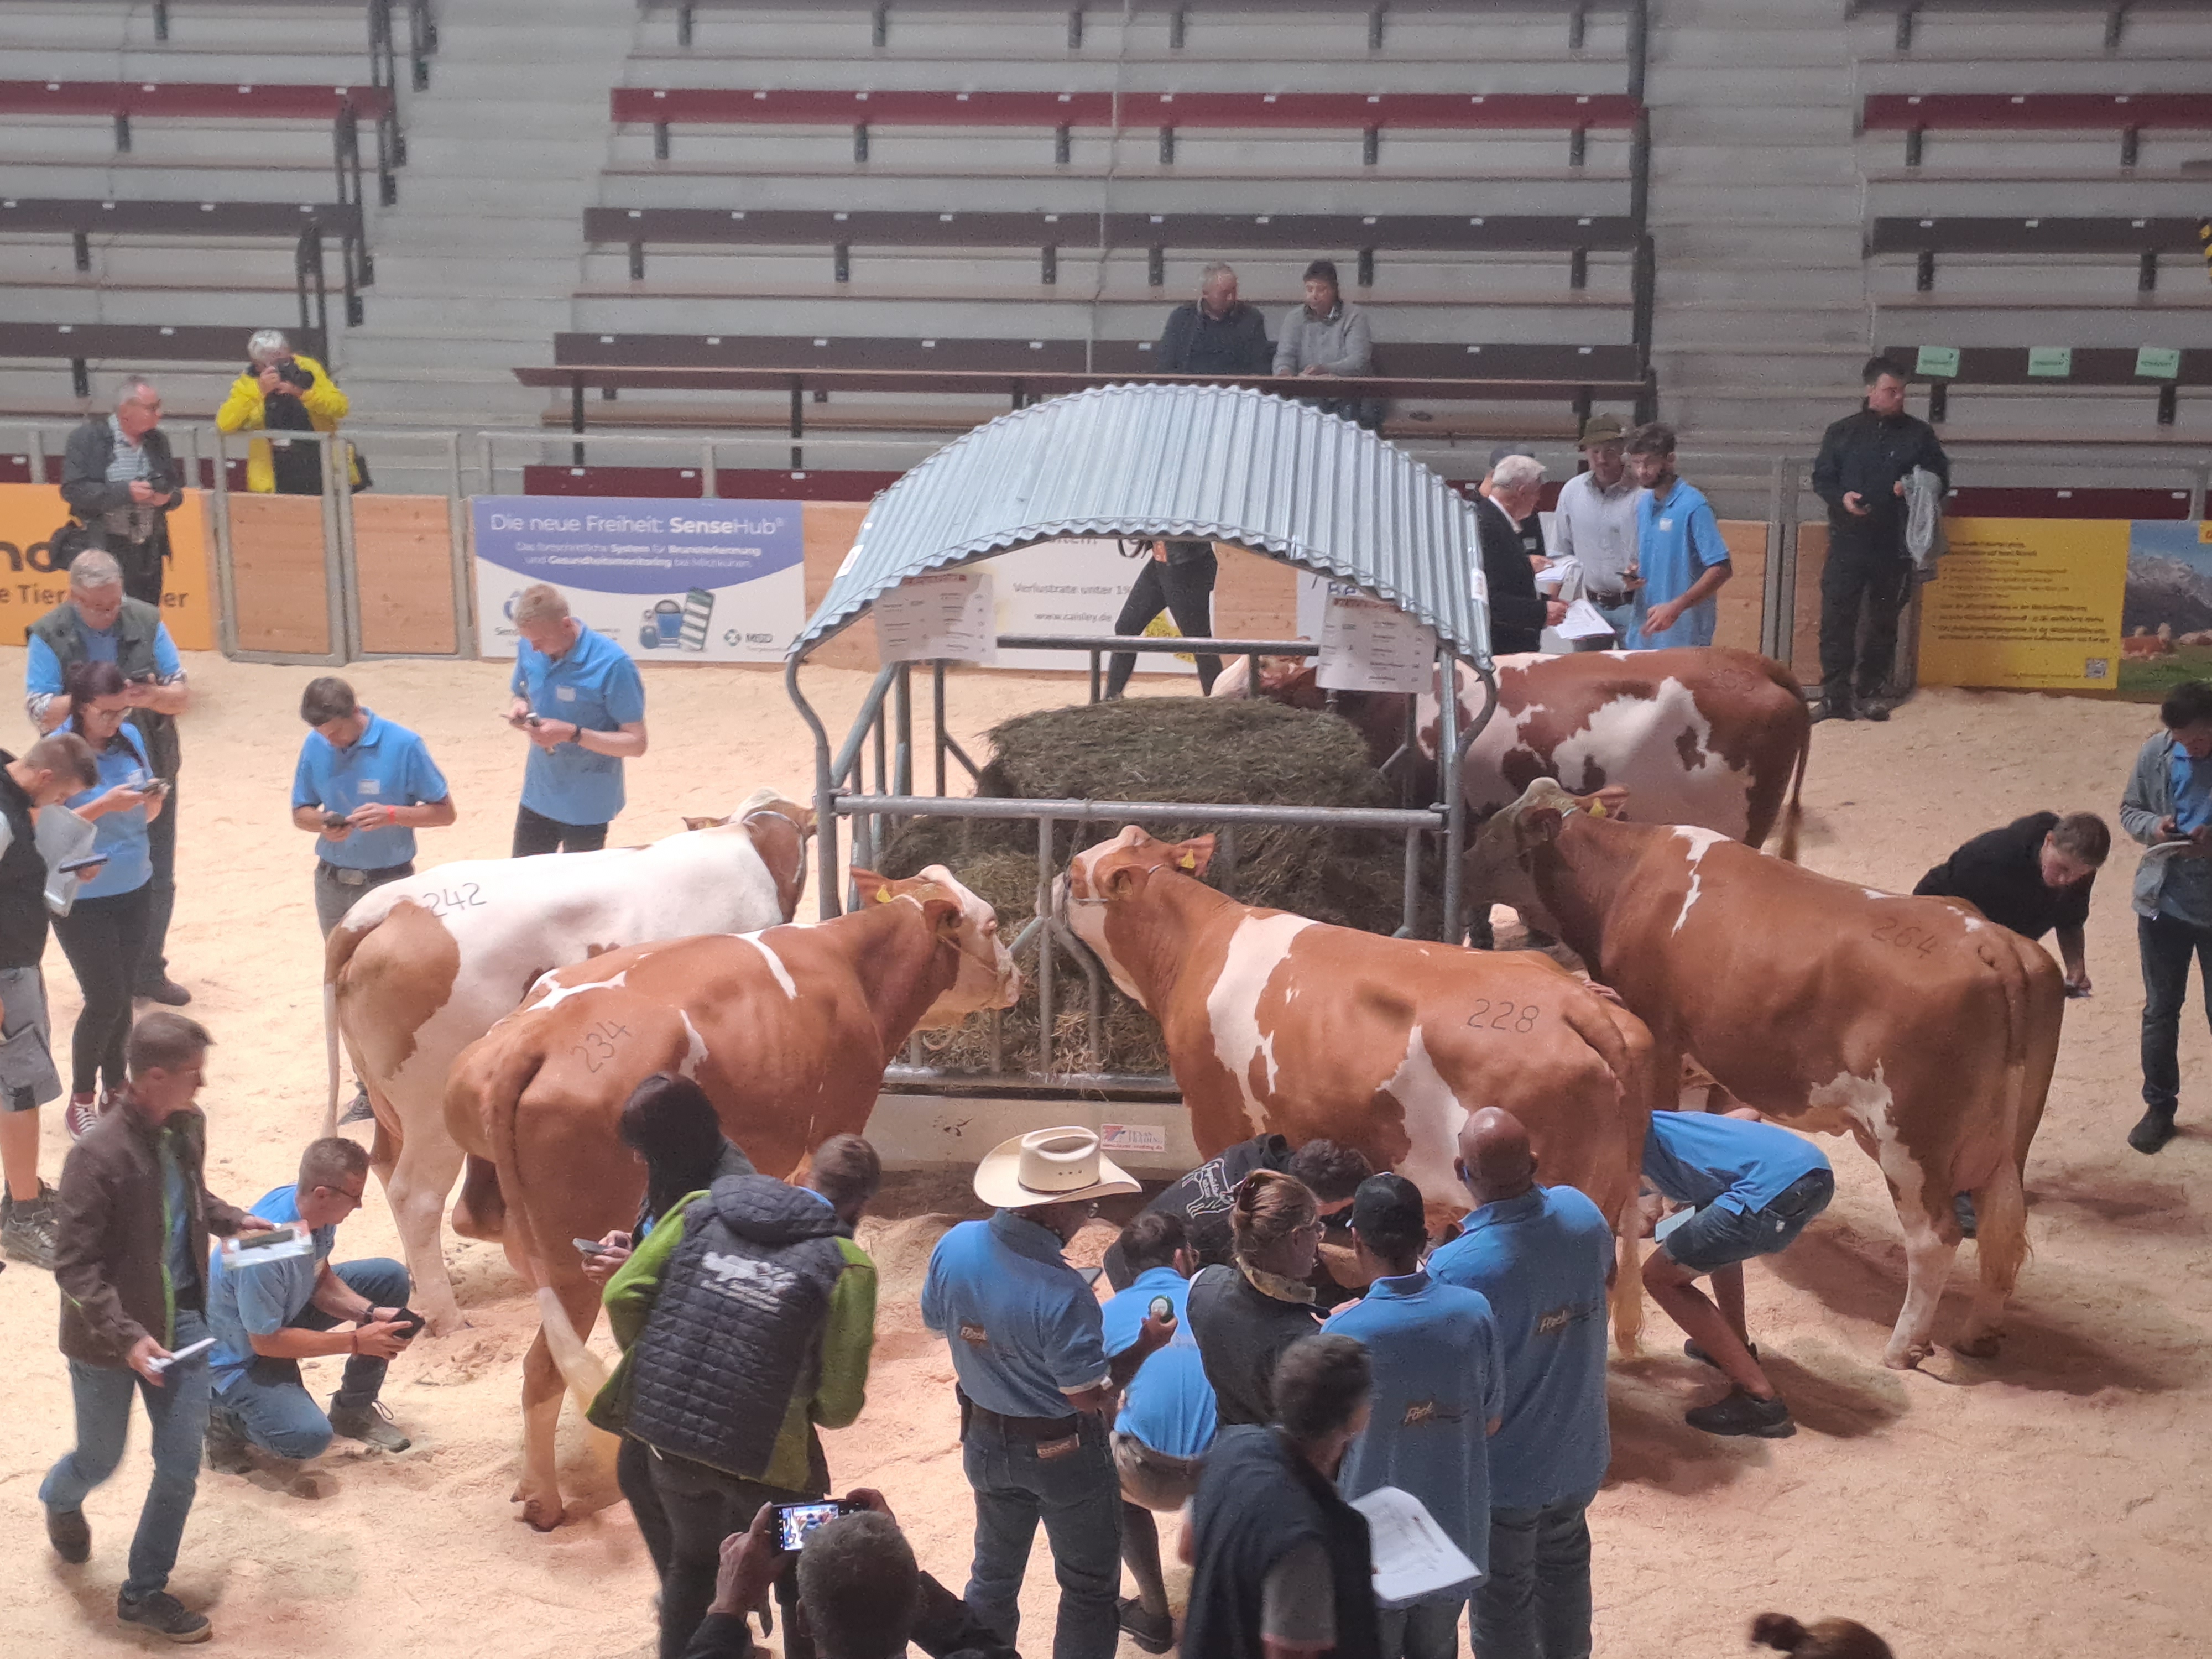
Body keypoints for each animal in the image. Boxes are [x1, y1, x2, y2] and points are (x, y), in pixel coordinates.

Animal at [323, 792, 818, 1336]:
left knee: (384, 1167)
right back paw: (449, 1317)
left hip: (389, 1102)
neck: (751, 841)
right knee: (416, 1197)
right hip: (431, 1108)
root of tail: (389, 908)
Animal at [438, 872, 1018, 1531]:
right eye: (992, 924)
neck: (847, 962)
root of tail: (528, 1042)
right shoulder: (837, 1118)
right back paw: (543, 1498)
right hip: (570, 1261)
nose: (1017, 974)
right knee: (543, 1368)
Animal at [1460, 787, 2062, 1371]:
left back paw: (1903, 1347)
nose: (1463, 866)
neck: (1623, 880)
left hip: (1908, 1140)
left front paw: (1654, 1211)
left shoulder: (1661, 1041)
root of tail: (1989, 939)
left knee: (1935, 1238)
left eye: (1491, 832)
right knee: (2001, 1225)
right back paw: (1978, 1334)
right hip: (2008, 1141)